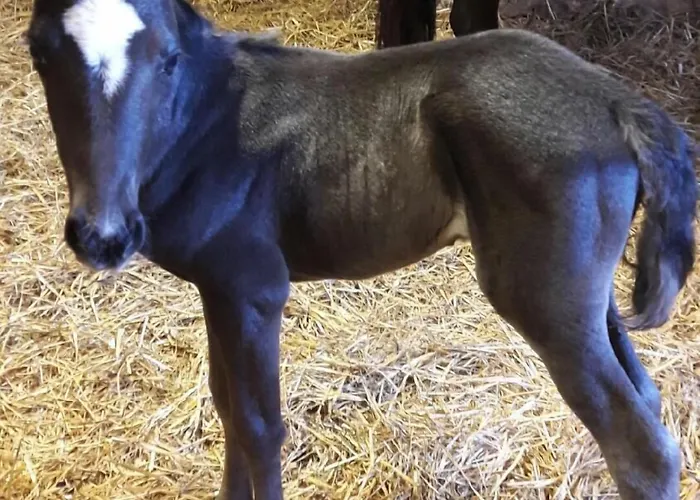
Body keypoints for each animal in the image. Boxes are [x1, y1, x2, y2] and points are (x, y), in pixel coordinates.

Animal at [27, 0, 697, 499]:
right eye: (39, 52)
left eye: (167, 60)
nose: (103, 235)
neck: (208, 122)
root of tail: (620, 101)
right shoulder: (216, 290)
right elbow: (227, 409)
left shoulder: (251, 289)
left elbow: (259, 426)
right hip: (588, 300)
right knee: (647, 399)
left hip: (544, 300)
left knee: (642, 450)